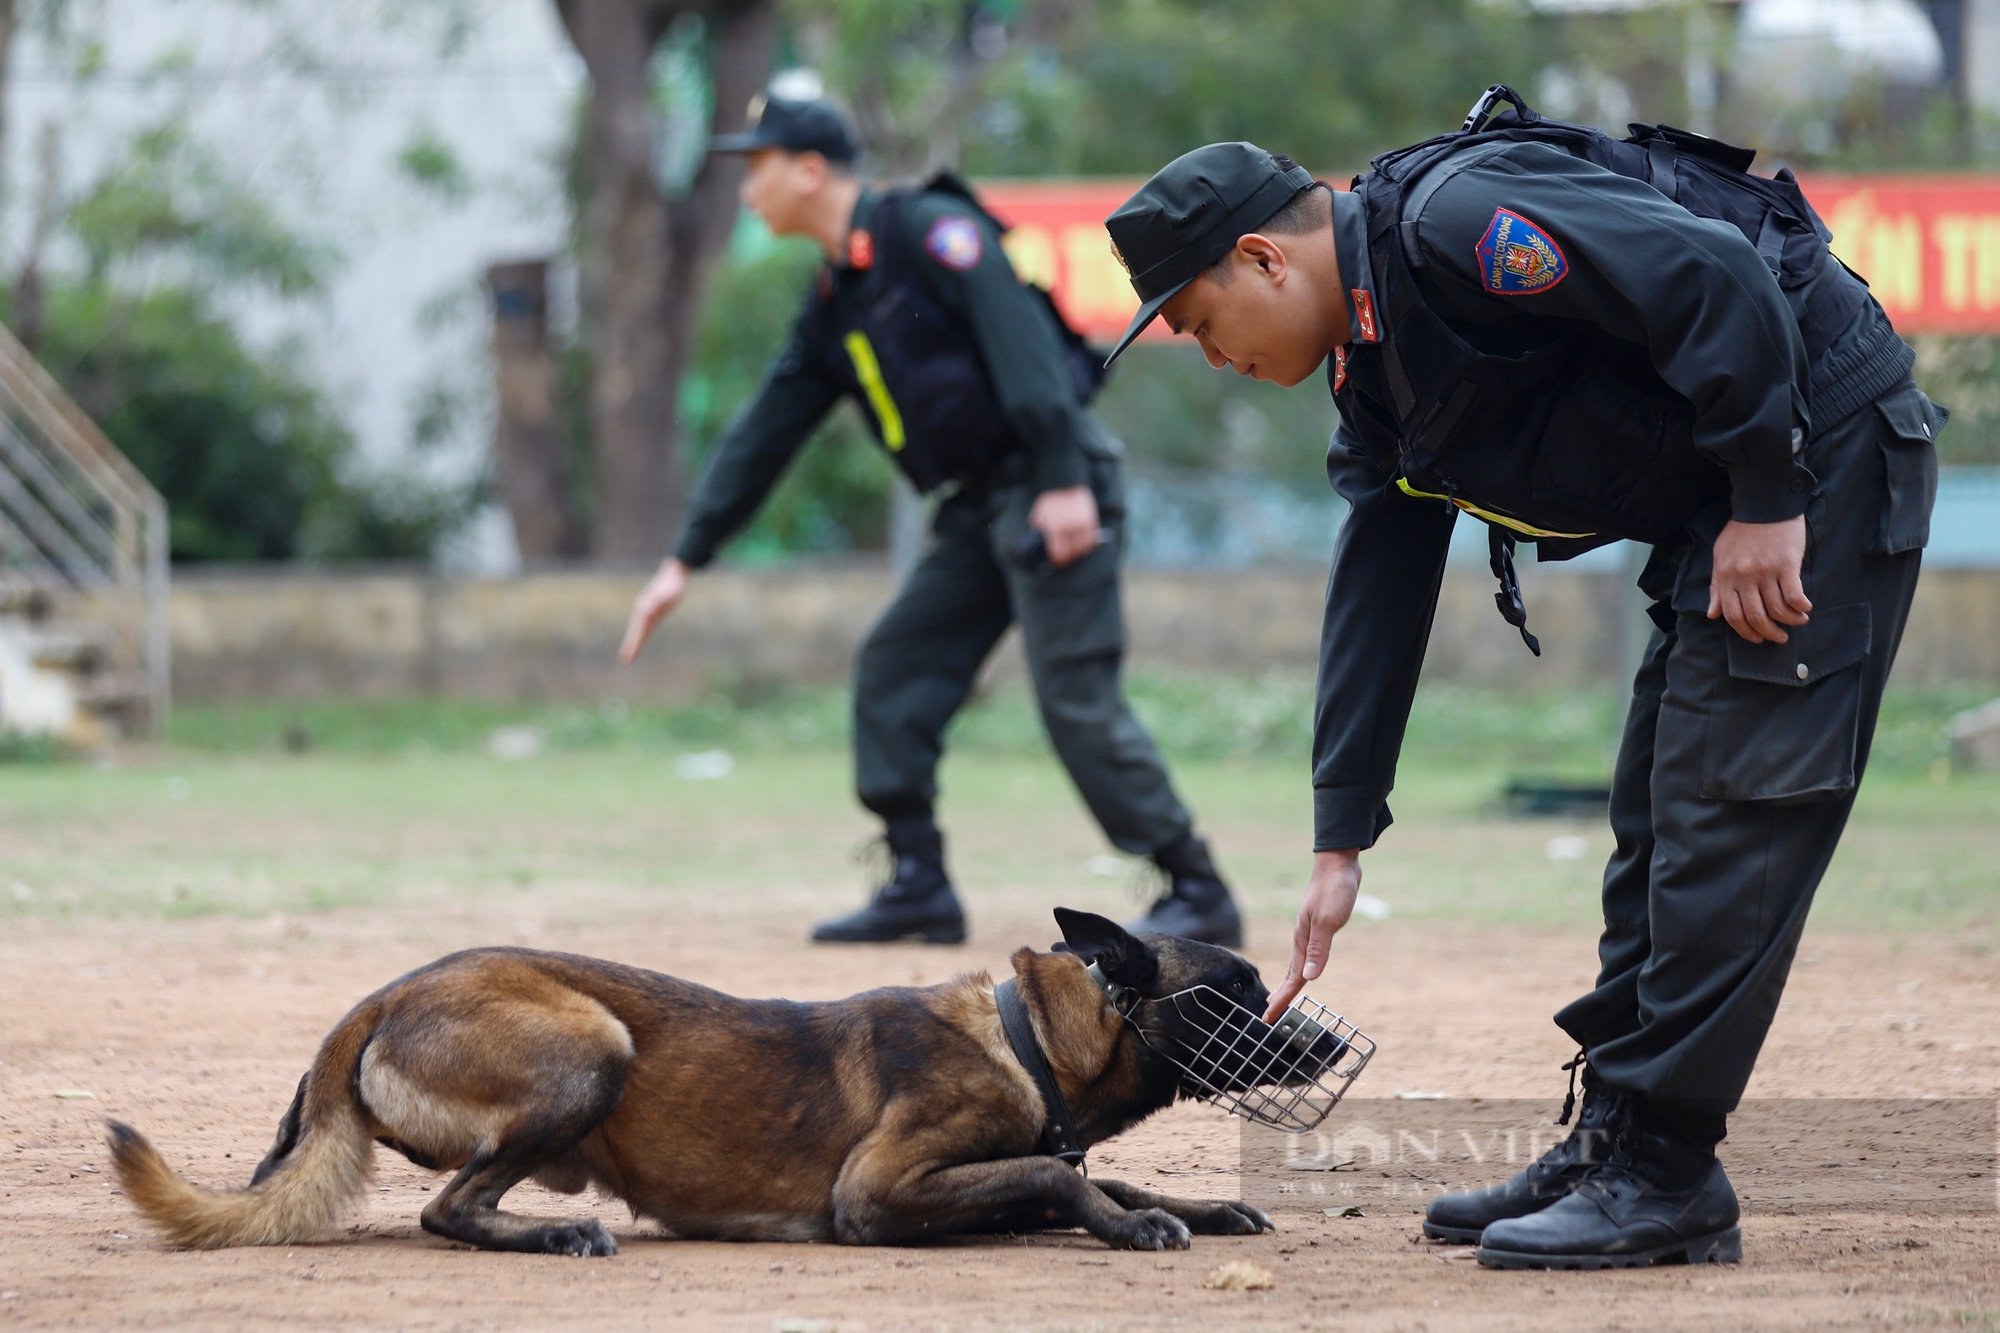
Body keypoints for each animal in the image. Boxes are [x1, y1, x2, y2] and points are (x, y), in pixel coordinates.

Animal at [105, 908, 1328, 1248]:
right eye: (1233, 992)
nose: (1319, 1044)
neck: (1025, 1041)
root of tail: (381, 994)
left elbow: (1096, 1174)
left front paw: (1199, 1204)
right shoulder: (878, 1192)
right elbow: (1064, 1178)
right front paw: (1131, 1225)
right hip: (592, 1046)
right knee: (446, 1210)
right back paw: (552, 1234)